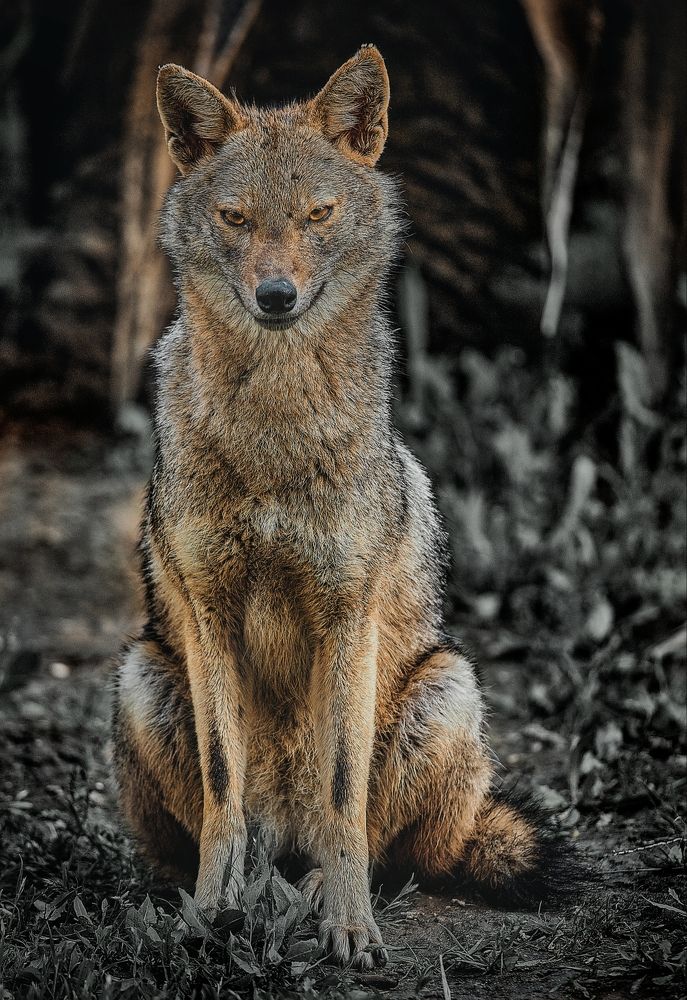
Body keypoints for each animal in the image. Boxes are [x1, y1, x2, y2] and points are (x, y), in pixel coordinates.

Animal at [112, 45, 573, 969]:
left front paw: (350, 927)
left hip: (445, 686)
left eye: (317, 214)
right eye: (236, 218)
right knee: (238, 835)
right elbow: (222, 786)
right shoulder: (208, 610)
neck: (275, 433)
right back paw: (244, 893)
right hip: (143, 673)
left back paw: (323, 890)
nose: (275, 297)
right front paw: (210, 909)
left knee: (386, 848)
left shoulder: (345, 612)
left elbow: (342, 795)